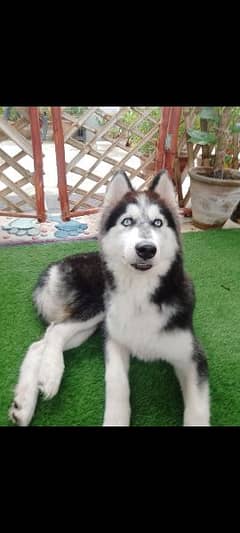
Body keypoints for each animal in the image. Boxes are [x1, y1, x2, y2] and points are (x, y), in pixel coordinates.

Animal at [8, 168, 210, 426]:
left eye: (158, 223)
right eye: (127, 221)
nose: (146, 249)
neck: (140, 295)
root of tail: (54, 266)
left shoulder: (192, 357)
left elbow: (197, 412)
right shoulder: (114, 341)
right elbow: (117, 383)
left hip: (91, 327)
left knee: (40, 343)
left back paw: (24, 404)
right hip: (97, 308)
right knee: (56, 331)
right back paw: (51, 374)